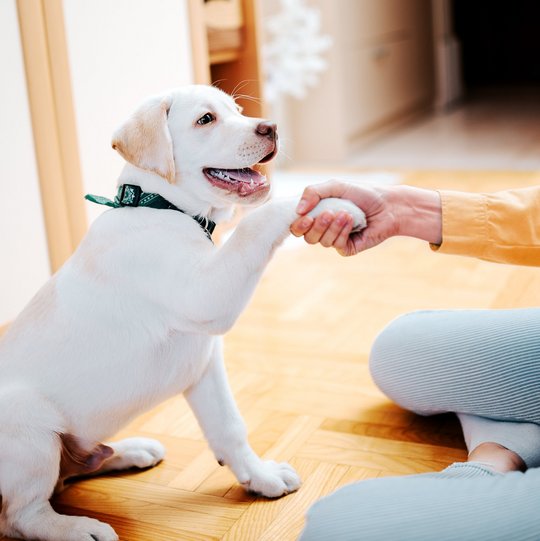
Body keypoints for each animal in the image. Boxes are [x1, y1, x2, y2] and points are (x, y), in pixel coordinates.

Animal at [0, 84, 364, 540]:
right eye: (206, 120)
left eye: (238, 110)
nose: (271, 127)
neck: (160, 207)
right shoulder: (206, 296)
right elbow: (255, 221)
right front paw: (324, 203)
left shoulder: (204, 361)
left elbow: (229, 427)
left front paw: (259, 477)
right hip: (26, 422)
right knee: (23, 515)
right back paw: (79, 528)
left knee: (64, 477)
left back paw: (129, 451)